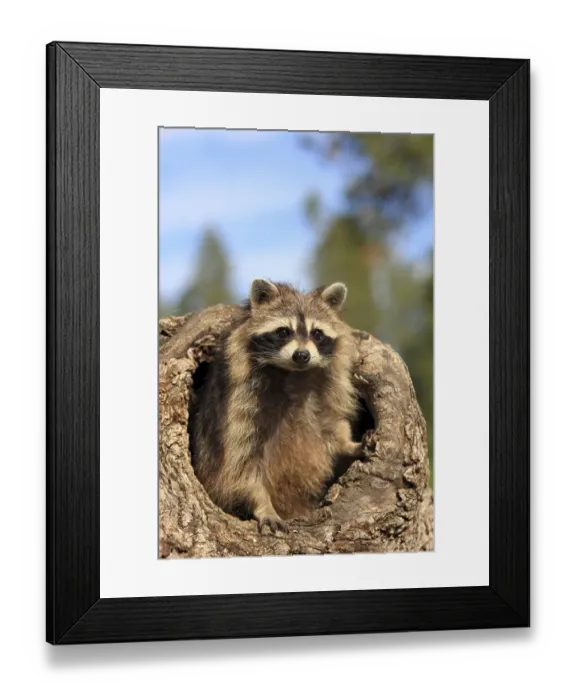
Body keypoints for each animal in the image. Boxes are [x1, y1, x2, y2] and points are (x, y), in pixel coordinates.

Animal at [192, 279, 362, 533]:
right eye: (283, 332)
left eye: (317, 333)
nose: (302, 355)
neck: (293, 373)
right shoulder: (240, 401)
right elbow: (240, 461)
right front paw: (262, 504)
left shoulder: (328, 387)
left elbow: (331, 421)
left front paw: (347, 444)